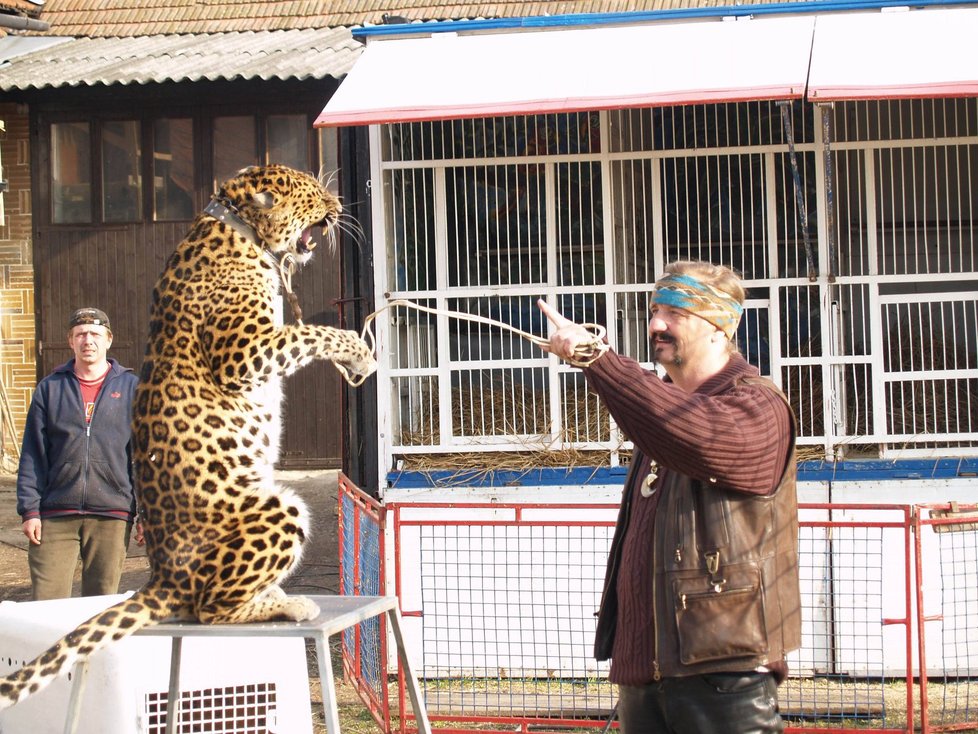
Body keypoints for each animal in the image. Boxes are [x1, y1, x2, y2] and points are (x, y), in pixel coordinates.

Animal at [0, 164, 378, 712]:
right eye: (313, 192)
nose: (339, 204)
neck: (240, 230)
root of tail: (162, 578)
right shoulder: (245, 350)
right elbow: (313, 333)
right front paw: (357, 352)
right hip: (278, 508)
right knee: (210, 609)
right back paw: (287, 604)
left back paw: (274, 597)